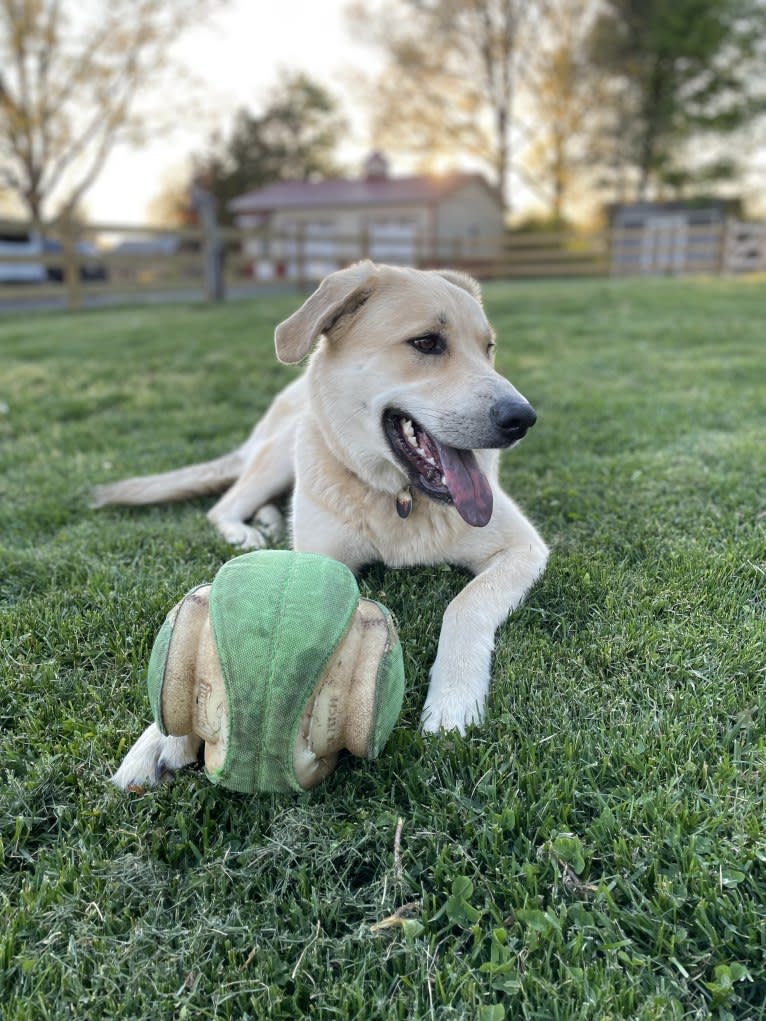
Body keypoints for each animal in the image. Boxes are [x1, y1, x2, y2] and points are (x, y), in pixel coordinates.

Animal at [99, 263, 547, 788]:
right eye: (427, 343)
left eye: (489, 347)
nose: (522, 418)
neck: (399, 500)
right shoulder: (315, 560)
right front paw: (161, 738)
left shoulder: (525, 549)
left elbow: (465, 605)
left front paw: (454, 698)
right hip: (278, 452)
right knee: (225, 504)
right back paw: (248, 530)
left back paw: (270, 521)